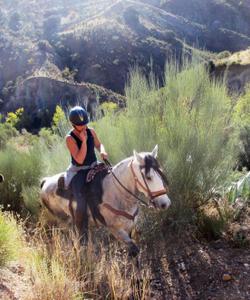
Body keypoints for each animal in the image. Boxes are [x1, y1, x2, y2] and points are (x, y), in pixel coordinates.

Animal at [41, 145, 171, 255]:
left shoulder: (129, 225)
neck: (116, 192)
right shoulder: (115, 229)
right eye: (148, 177)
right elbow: (134, 249)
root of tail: (45, 181)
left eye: (161, 173)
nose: (165, 203)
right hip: (63, 221)